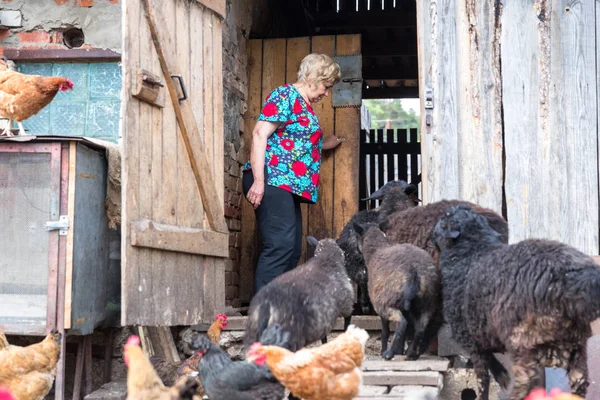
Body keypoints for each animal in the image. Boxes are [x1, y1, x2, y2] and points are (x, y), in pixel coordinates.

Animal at [354, 222, 442, 362]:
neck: (376, 250)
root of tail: (414, 270)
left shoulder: (380, 308)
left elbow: (385, 331)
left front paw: (384, 350)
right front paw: (400, 350)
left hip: (387, 303)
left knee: (402, 323)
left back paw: (389, 354)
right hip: (428, 303)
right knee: (420, 329)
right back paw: (411, 354)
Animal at [432, 205, 600, 398]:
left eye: (443, 219)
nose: (431, 235)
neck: (472, 252)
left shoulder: (470, 338)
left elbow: (483, 379)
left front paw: (498, 378)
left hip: (522, 340)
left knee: (525, 382)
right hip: (576, 347)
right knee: (579, 384)